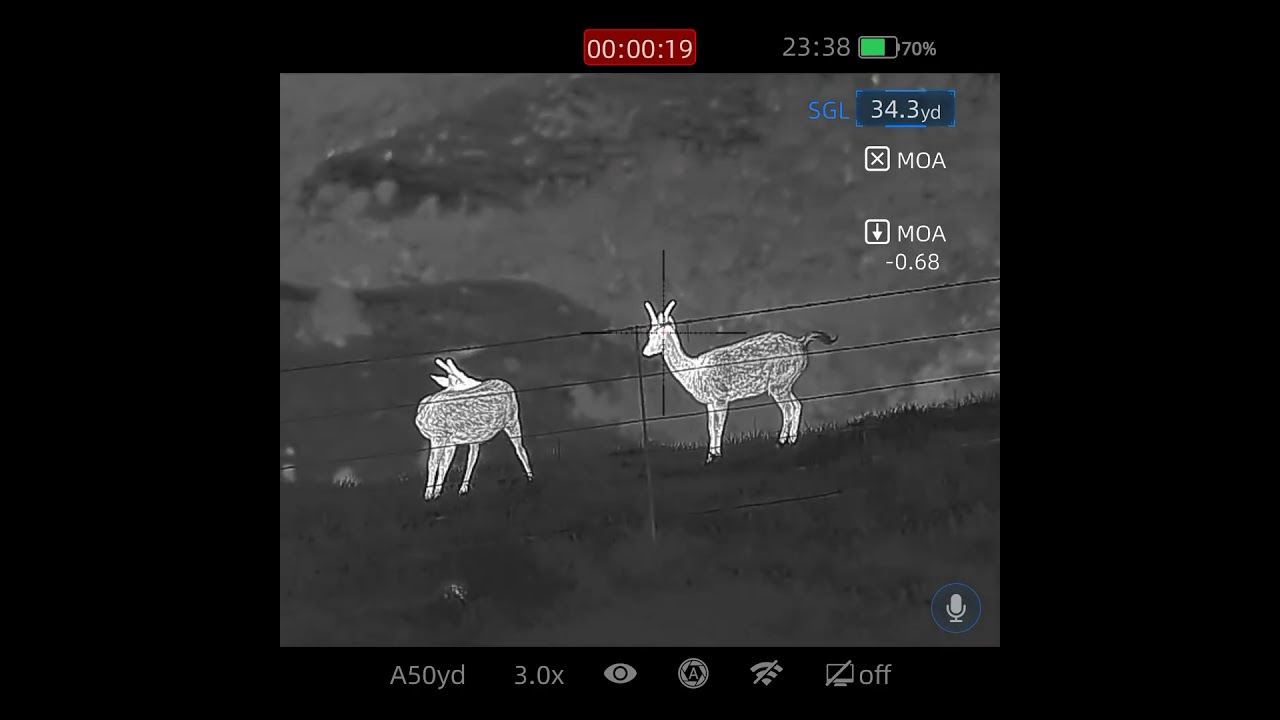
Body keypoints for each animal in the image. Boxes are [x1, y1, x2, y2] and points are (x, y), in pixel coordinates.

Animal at [414, 357, 534, 501]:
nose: (477, 383)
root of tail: (507, 385)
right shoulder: (449, 441)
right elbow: (444, 465)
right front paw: (436, 494)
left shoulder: (439, 436)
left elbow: (432, 464)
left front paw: (428, 495)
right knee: (474, 456)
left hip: (512, 420)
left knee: (519, 449)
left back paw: (531, 479)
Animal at [641, 300, 837, 464]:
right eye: (650, 332)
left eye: (660, 332)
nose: (645, 351)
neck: (694, 372)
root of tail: (801, 342)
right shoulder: (710, 403)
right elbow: (710, 428)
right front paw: (710, 457)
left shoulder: (720, 397)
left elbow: (718, 427)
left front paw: (716, 456)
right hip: (785, 383)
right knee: (796, 405)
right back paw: (789, 440)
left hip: (779, 383)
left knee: (790, 407)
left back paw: (783, 442)